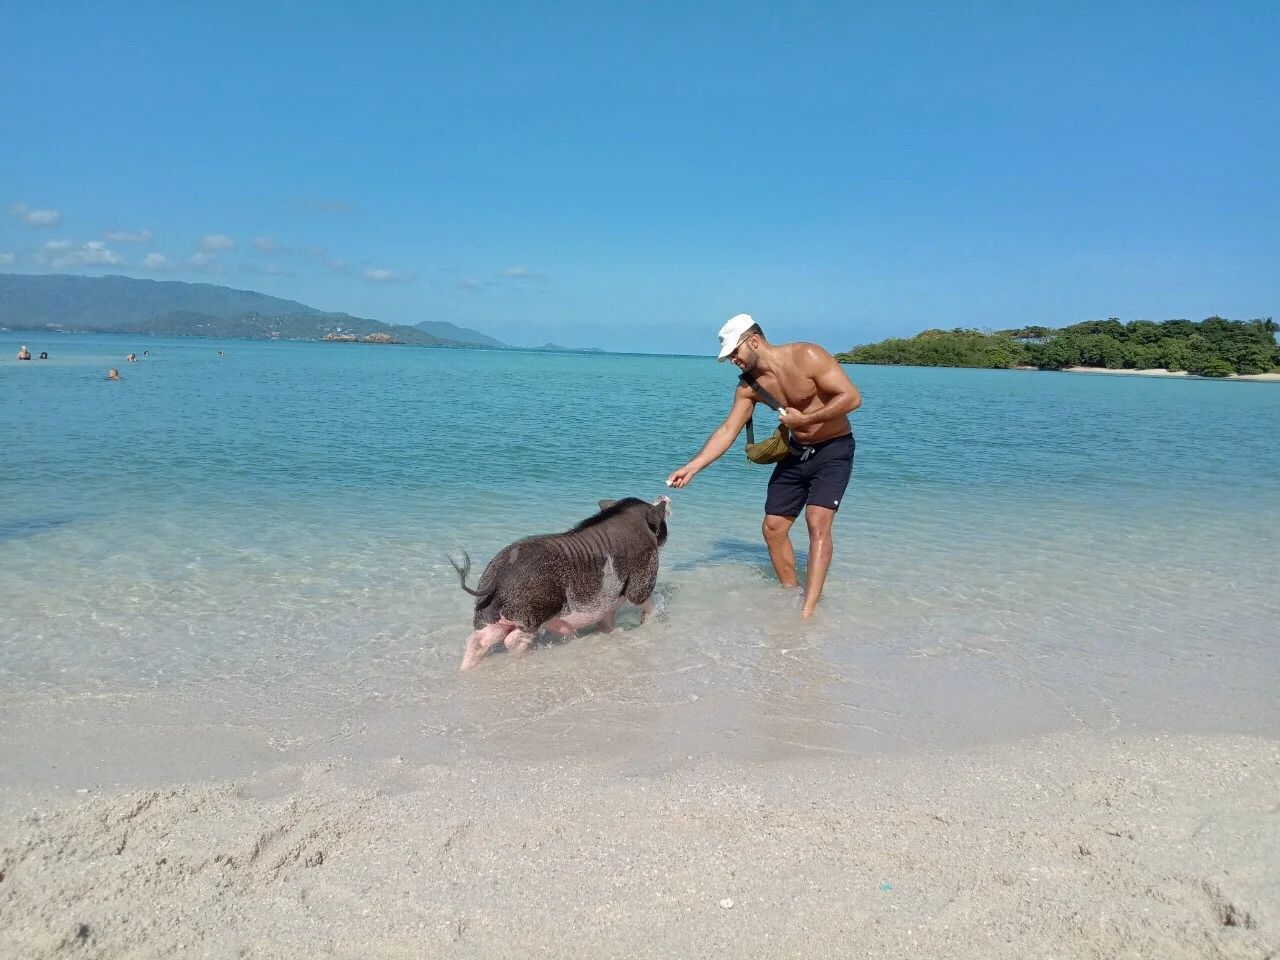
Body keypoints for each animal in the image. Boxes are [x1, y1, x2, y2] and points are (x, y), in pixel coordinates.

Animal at [449, 496, 671, 670]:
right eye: (662, 523)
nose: (664, 499)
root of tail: (501, 572)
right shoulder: (644, 574)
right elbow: (642, 599)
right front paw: (656, 619)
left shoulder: (608, 601)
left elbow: (607, 621)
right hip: (535, 609)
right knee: (513, 640)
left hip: (488, 614)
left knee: (478, 640)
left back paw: (464, 670)